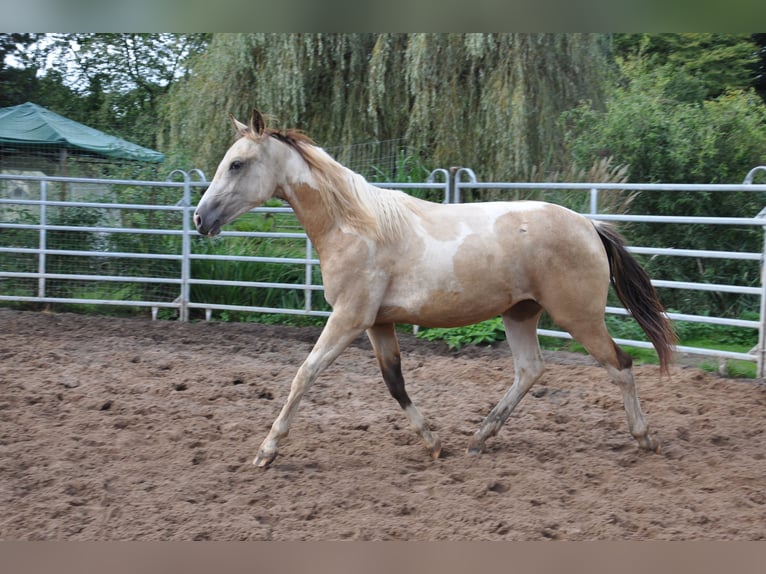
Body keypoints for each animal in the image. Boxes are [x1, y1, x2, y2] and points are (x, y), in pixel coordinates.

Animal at [193, 109, 676, 468]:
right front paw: (433, 443)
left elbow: (304, 375)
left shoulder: (348, 317)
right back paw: (479, 438)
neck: (355, 226)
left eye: (237, 163)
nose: (200, 218)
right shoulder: (378, 323)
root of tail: (589, 226)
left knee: (620, 365)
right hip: (520, 313)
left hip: (579, 317)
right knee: (530, 370)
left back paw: (645, 438)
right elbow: (394, 383)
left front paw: (266, 452)